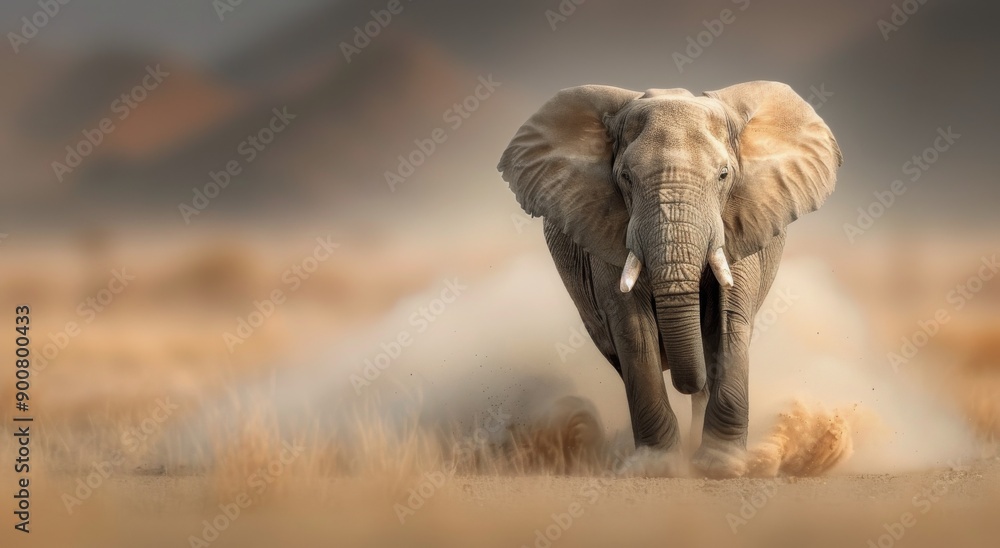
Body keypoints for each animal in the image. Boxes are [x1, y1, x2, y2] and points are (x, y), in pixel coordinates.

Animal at [497, 81, 841, 478]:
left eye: (724, 175)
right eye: (626, 178)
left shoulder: (742, 219)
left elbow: (730, 322)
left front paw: (720, 466)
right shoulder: (606, 227)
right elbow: (633, 330)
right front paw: (657, 467)